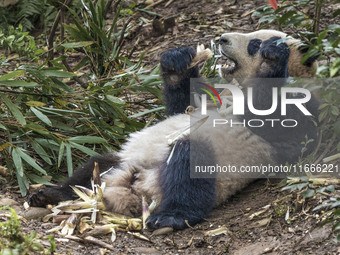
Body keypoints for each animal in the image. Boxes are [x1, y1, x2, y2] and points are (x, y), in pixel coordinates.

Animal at [28, 29, 318, 229]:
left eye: (253, 43)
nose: (222, 39)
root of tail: (135, 188)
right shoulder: (210, 97)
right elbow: (183, 105)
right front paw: (179, 61)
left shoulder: (299, 108)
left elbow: (279, 126)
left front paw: (272, 56)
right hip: (123, 160)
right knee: (94, 166)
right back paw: (50, 194)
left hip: (218, 165)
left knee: (189, 165)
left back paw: (169, 217)